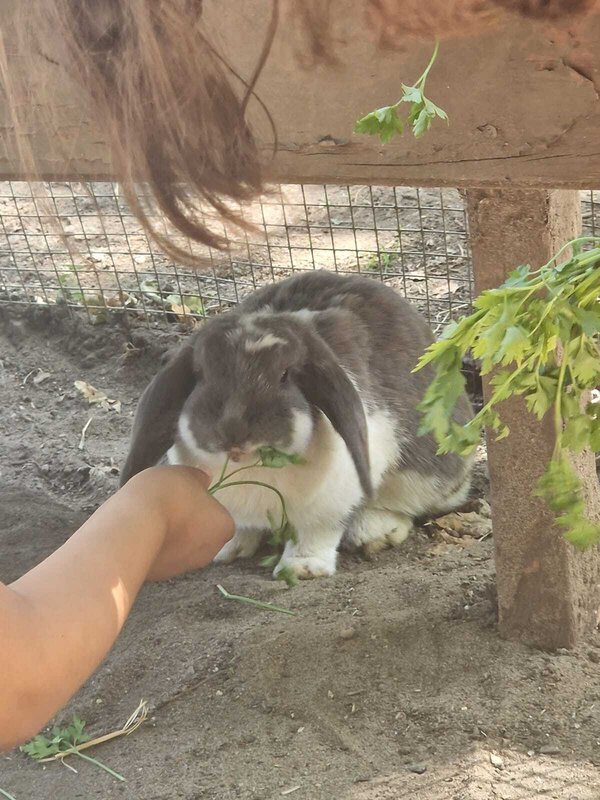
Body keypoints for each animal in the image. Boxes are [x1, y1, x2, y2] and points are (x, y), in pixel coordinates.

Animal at [121, 270, 473, 579]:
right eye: (200, 374)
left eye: (285, 375)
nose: (233, 432)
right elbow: (241, 526)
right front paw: (227, 549)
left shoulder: (329, 502)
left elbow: (316, 533)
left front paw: (302, 569)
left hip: (423, 476)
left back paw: (372, 532)